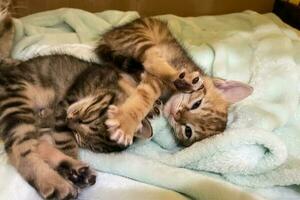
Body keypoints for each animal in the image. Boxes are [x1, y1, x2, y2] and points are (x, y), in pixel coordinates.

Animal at [96, 17, 253, 147]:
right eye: (197, 104)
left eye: (188, 131)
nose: (176, 115)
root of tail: (110, 34)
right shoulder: (159, 76)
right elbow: (145, 94)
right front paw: (125, 122)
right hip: (140, 37)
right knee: (150, 59)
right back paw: (181, 79)